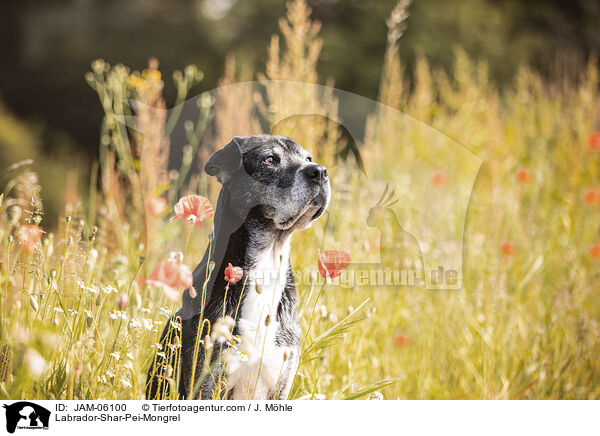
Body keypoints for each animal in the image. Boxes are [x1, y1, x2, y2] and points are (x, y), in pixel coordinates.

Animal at [147, 135, 330, 400]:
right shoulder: (208, 384)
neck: (266, 266)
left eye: (308, 158)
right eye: (270, 159)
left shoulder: (281, 381)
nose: (320, 171)